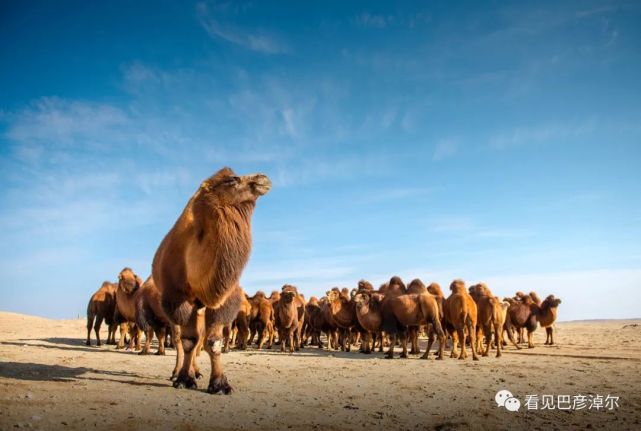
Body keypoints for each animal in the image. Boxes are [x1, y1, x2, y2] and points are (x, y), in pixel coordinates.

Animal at [154, 168, 272, 394]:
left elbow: (213, 341)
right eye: (232, 180)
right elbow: (189, 342)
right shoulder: (178, 299)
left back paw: (196, 372)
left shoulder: (222, 299)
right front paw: (184, 379)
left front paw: (219, 384)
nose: (263, 178)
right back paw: (178, 373)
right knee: (182, 339)